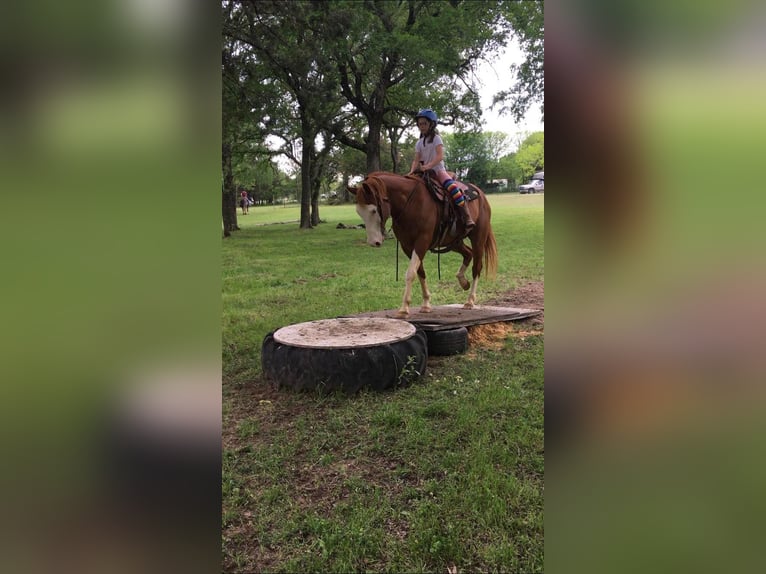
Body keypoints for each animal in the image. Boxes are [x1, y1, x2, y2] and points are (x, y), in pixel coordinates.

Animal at [352, 172, 500, 320]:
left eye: (373, 210)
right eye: (359, 212)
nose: (373, 242)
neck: (410, 203)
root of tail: (481, 194)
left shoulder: (421, 242)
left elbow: (411, 273)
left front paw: (404, 309)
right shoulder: (407, 246)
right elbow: (420, 272)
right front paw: (426, 304)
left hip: (478, 239)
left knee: (477, 267)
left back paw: (470, 300)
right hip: (454, 242)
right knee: (468, 253)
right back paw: (463, 282)